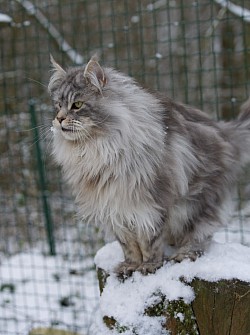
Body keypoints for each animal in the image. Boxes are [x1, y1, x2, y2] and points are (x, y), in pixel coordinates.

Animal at [47, 55, 250, 276]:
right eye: (58, 105)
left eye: (77, 104)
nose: (59, 119)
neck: (97, 150)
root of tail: (226, 133)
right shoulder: (114, 208)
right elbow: (128, 244)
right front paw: (130, 266)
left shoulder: (148, 205)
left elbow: (148, 242)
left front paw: (149, 266)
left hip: (196, 205)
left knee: (199, 235)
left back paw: (184, 254)